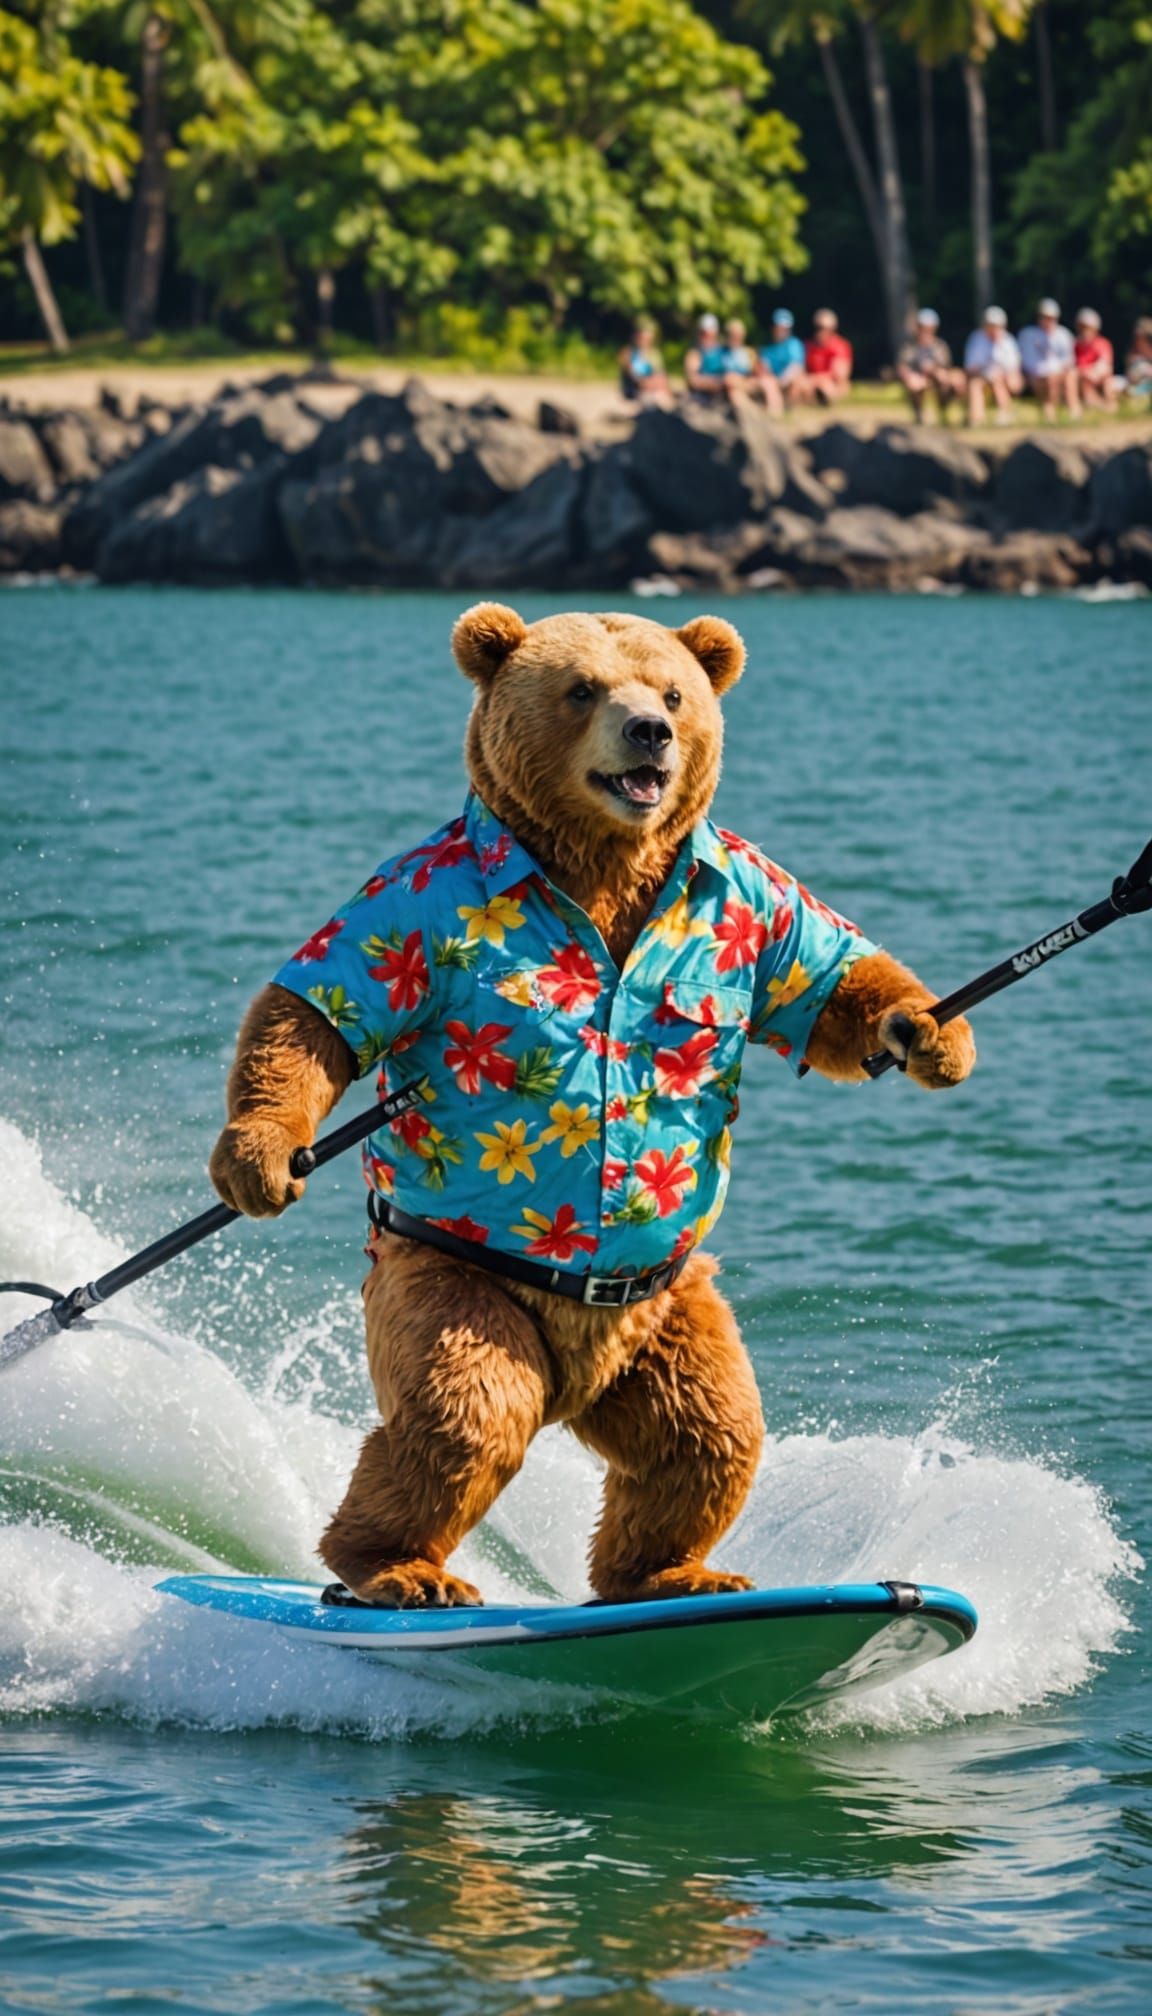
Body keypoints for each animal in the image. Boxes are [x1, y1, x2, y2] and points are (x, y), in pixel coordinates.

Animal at [209, 604, 975, 1608]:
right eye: (582, 690)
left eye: (674, 693)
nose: (648, 730)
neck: (602, 860)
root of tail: (572, 1387)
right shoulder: (418, 903)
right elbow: (313, 1015)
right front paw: (258, 1159)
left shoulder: (742, 892)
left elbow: (832, 977)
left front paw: (931, 1033)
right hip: (452, 1285)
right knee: (464, 1413)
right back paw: (399, 1570)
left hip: (667, 1323)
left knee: (705, 1436)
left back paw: (677, 1575)